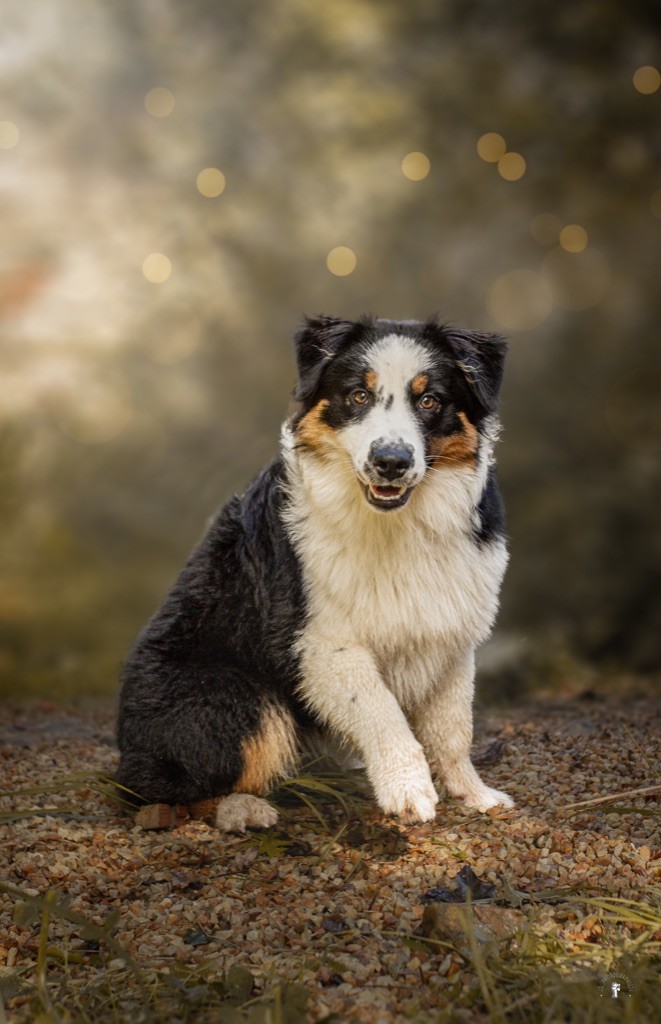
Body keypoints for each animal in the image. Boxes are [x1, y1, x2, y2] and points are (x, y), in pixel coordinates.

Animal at [116, 313, 515, 831]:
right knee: (161, 792)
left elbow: (452, 730)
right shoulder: (323, 642)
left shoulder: (450, 636)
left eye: (430, 400)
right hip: (237, 695)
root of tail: (128, 749)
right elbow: (383, 713)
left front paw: (473, 793)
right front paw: (408, 791)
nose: (391, 462)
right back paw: (242, 808)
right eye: (359, 395)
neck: (396, 525)